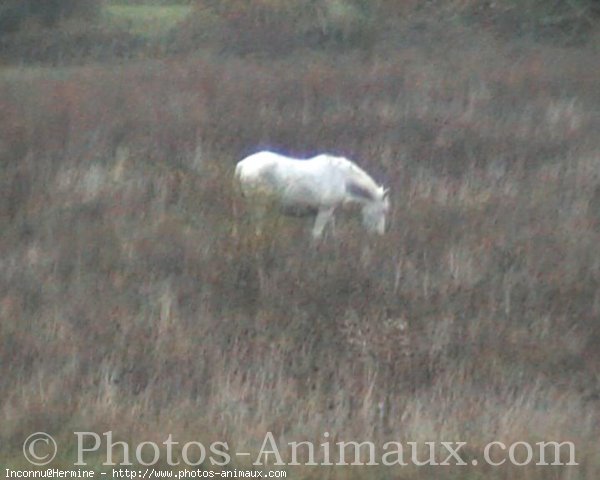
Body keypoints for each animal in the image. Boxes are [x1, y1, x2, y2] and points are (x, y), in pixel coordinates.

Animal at [234, 151, 390, 239]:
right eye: (383, 211)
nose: (380, 234)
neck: (343, 178)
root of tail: (242, 164)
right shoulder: (325, 210)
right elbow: (317, 234)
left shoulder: (316, 212)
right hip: (259, 205)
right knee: (258, 228)